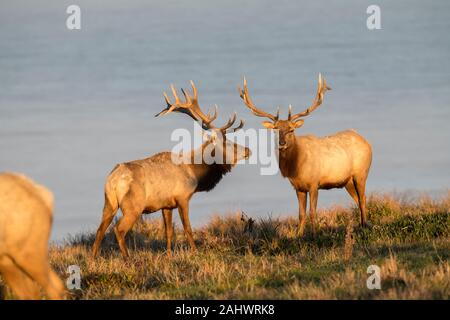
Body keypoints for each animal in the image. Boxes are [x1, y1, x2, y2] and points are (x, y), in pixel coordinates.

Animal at [239, 74, 372, 235]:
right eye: (276, 129)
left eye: (291, 130)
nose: (282, 143)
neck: (297, 167)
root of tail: (365, 141)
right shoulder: (298, 187)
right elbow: (301, 214)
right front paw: (299, 235)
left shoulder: (314, 183)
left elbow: (312, 212)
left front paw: (315, 234)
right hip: (347, 181)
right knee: (358, 199)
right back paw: (362, 225)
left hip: (361, 173)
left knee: (363, 198)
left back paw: (365, 226)